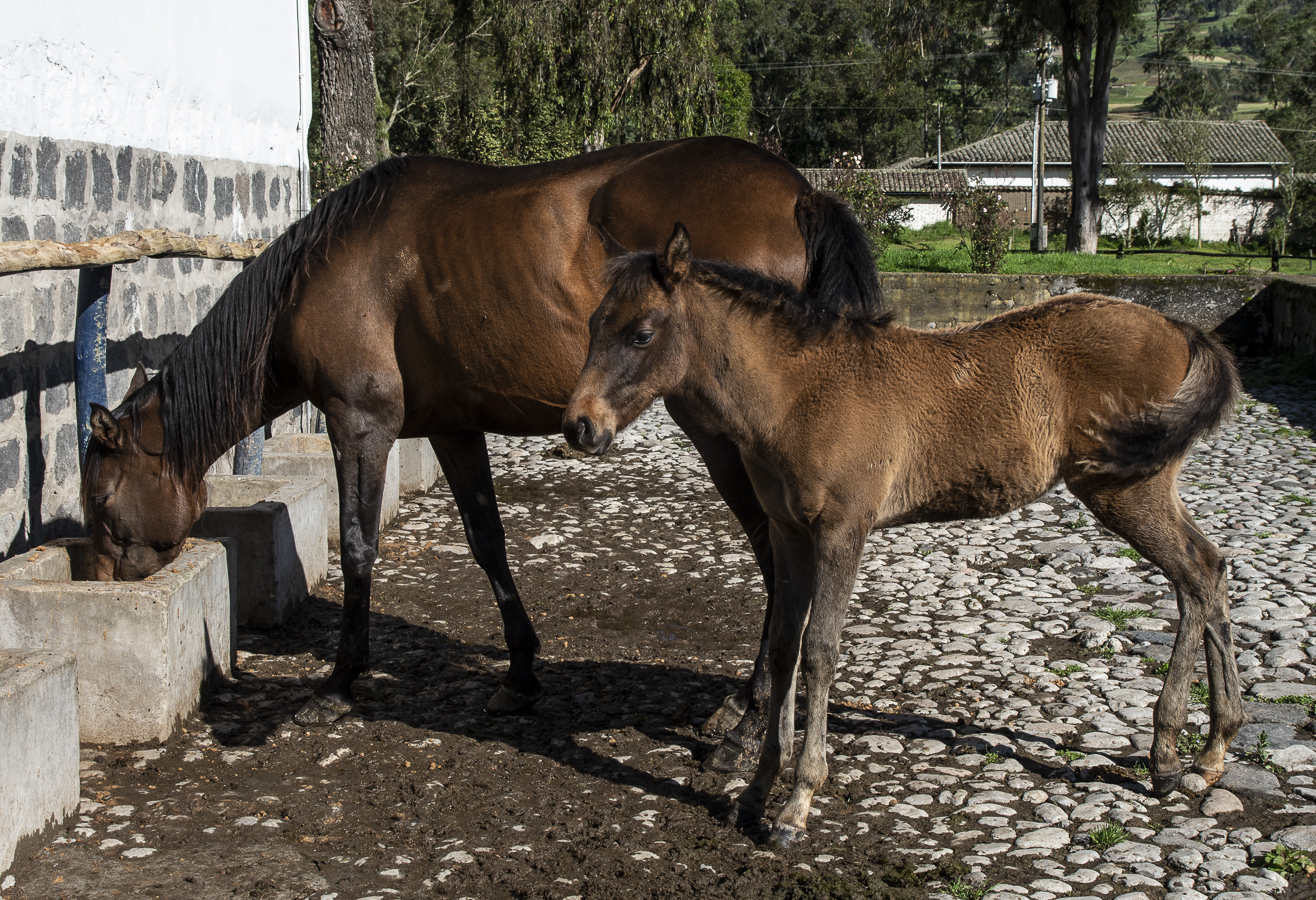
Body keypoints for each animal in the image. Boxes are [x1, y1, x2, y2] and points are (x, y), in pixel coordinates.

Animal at [79, 137, 880, 761]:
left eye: (100, 496)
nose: (107, 582)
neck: (324, 271)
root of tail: (800, 193)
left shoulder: (359, 422)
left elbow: (359, 545)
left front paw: (338, 684)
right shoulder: (453, 428)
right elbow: (486, 540)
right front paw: (521, 674)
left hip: (723, 437)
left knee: (776, 555)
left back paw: (747, 722)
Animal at [563, 223, 1245, 847]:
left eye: (642, 333)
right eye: (594, 323)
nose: (579, 426)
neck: (802, 391)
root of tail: (1181, 328)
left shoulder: (842, 531)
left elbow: (820, 651)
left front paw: (796, 805)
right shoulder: (788, 532)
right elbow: (783, 648)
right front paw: (756, 791)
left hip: (1125, 488)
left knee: (1195, 575)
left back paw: (1171, 754)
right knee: (1208, 573)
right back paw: (1209, 750)